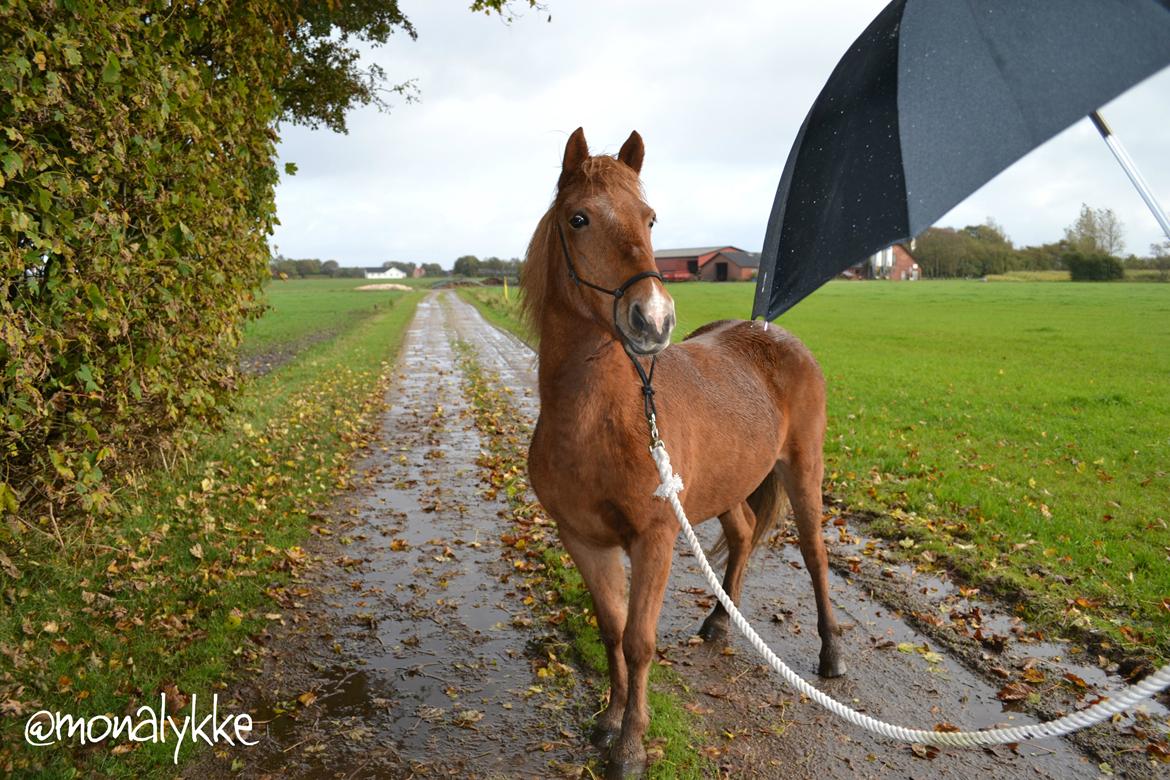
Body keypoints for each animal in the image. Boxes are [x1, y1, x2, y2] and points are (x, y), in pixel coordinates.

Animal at [524, 129, 842, 780]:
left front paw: (631, 747)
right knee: (743, 532)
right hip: (725, 487)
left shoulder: (655, 539)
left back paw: (830, 655)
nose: (653, 318)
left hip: (803, 473)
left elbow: (639, 640)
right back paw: (721, 622)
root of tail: (774, 335)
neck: (598, 422)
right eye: (578, 218)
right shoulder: (583, 540)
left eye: (650, 218)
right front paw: (608, 721)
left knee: (815, 556)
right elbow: (611, 629)